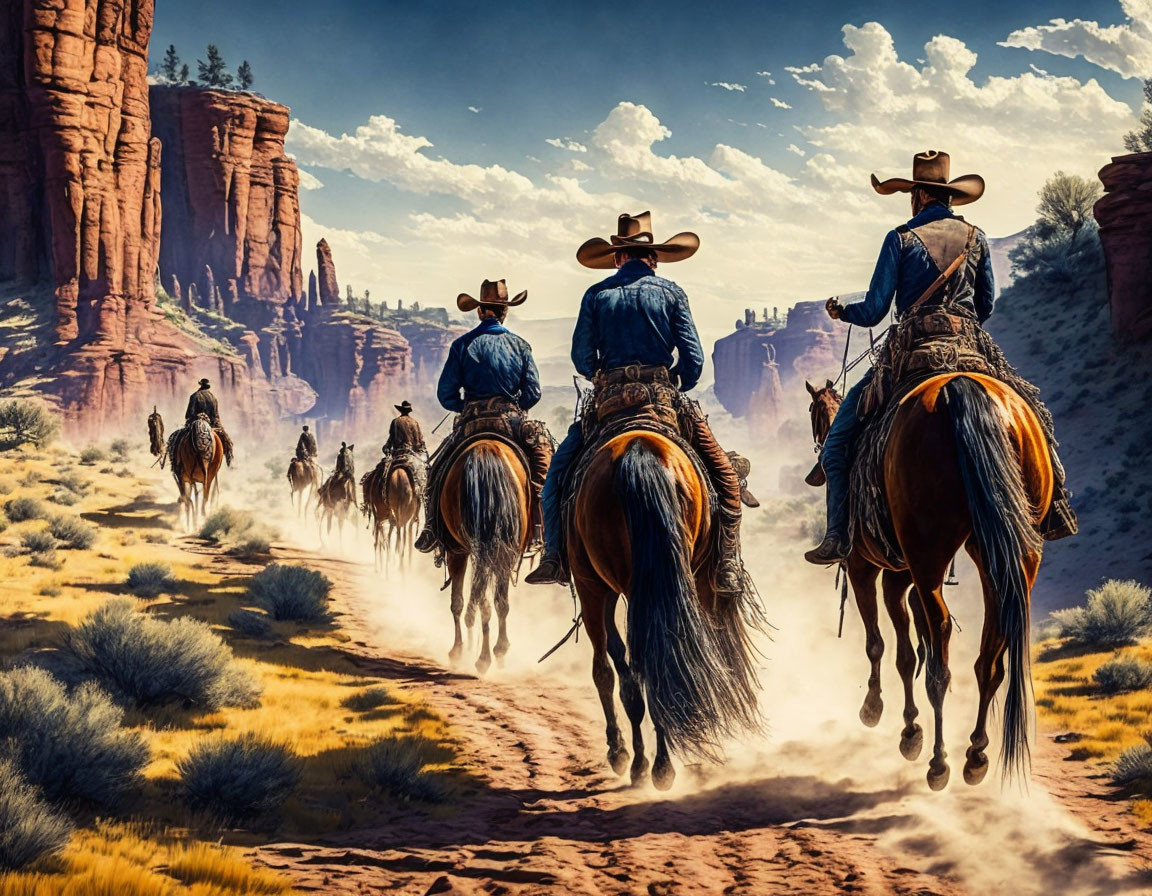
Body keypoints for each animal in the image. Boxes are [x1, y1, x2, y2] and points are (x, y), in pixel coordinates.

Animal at [437, 435, 532, 672]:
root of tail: (485, 448)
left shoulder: (457, 550)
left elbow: (458, 601)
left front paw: (457, 651)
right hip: (502, 550)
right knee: (498, 601)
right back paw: (494, 652)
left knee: (481, 599)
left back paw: (483, 657)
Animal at [566, 428, 764, 787]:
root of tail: (638, 453)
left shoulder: (594, 586)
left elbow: (609, 671)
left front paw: (621, 753)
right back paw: (660, 763)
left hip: (603, 584)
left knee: (637, 665)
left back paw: (649, 764)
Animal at [811, 370, 1055, 787]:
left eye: (814, 412)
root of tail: (960, 386)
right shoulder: (900, 578)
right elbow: (908, 650)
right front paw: (910, 728)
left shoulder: (865, 566)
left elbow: (882, 645)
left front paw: (879, 710)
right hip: (1009, 552)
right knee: (990, 653)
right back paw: (976, 753)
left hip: (927, 553)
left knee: (940, 646)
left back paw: (940, 761)